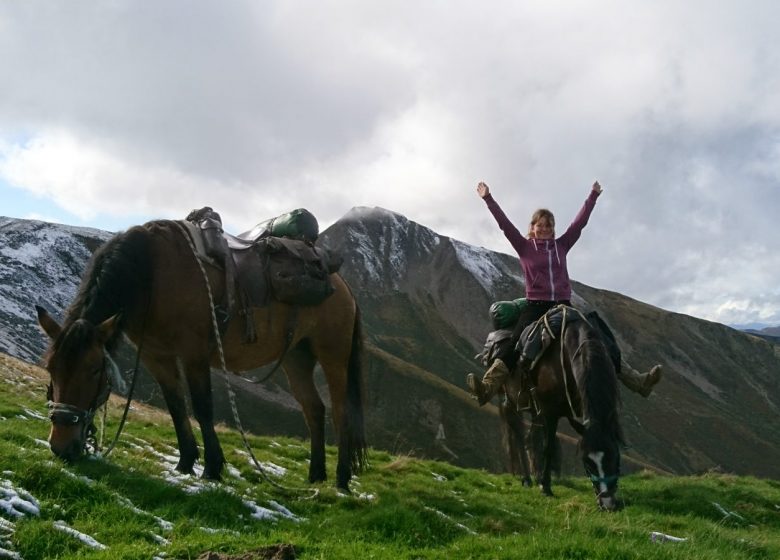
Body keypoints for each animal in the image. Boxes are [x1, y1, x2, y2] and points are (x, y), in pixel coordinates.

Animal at [35, 219, 368, 490]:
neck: (153, 273)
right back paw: (316, 475)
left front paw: (212, 468)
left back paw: (341, 479)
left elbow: (202, 407)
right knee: (314, 409)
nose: (61, 446)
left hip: (333, 355)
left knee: (340, 411)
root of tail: (344, 285)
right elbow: (175, 406)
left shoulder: (194, 353)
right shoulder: (157, 356)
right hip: (296, 357)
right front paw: (184, 462)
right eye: (51, 368)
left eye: (94, 369)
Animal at [502, 308, 624, 510]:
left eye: (614, 457)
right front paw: (545, 487)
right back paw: (527, 479)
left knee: (530, 437)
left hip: (535, 411)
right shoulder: (551, 411)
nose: (607, 504)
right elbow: (549, 447)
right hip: (512, 403)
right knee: (519, 435)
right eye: (587, 463)